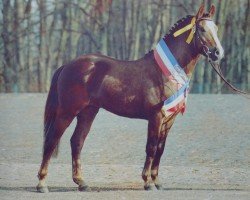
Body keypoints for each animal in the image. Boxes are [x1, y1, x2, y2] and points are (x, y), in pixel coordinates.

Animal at [36, 4, 223, 192]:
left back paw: (81, 182)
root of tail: (68, 65)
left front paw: (157, 181)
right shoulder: (156, 117)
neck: (165, 72)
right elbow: (151, 147)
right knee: (51, 140)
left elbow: (160, 149)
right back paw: (42, 183)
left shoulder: (169, 120)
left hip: (88, 112)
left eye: (215, 28)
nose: (217, 53)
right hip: (67, 111)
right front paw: (147, 182)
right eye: (202, 29)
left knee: (77, 142)